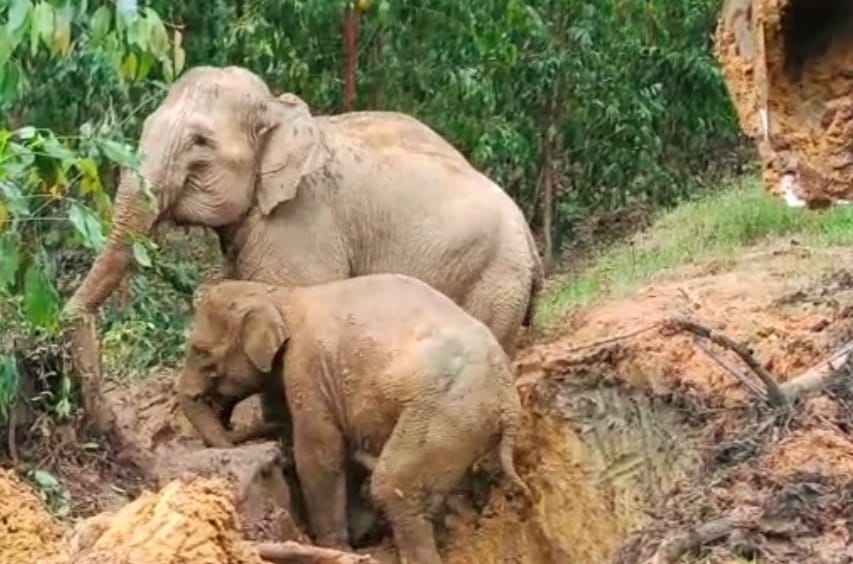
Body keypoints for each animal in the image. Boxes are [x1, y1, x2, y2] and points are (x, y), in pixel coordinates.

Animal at [63, 65, 544, 418]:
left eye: (200, 143)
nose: (98, 406)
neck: (279, 109)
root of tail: (531, 239)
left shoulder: (301, 222)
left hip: (495, 279)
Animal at [176, 272, 528, 560]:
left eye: (200, 352)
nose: (233, 440)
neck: (280, 295)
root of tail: (509, 402)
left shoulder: (307, 368)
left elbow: (320, 453)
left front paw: (335, 546)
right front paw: (358, 535)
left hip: (445, 414)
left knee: (394, 488)